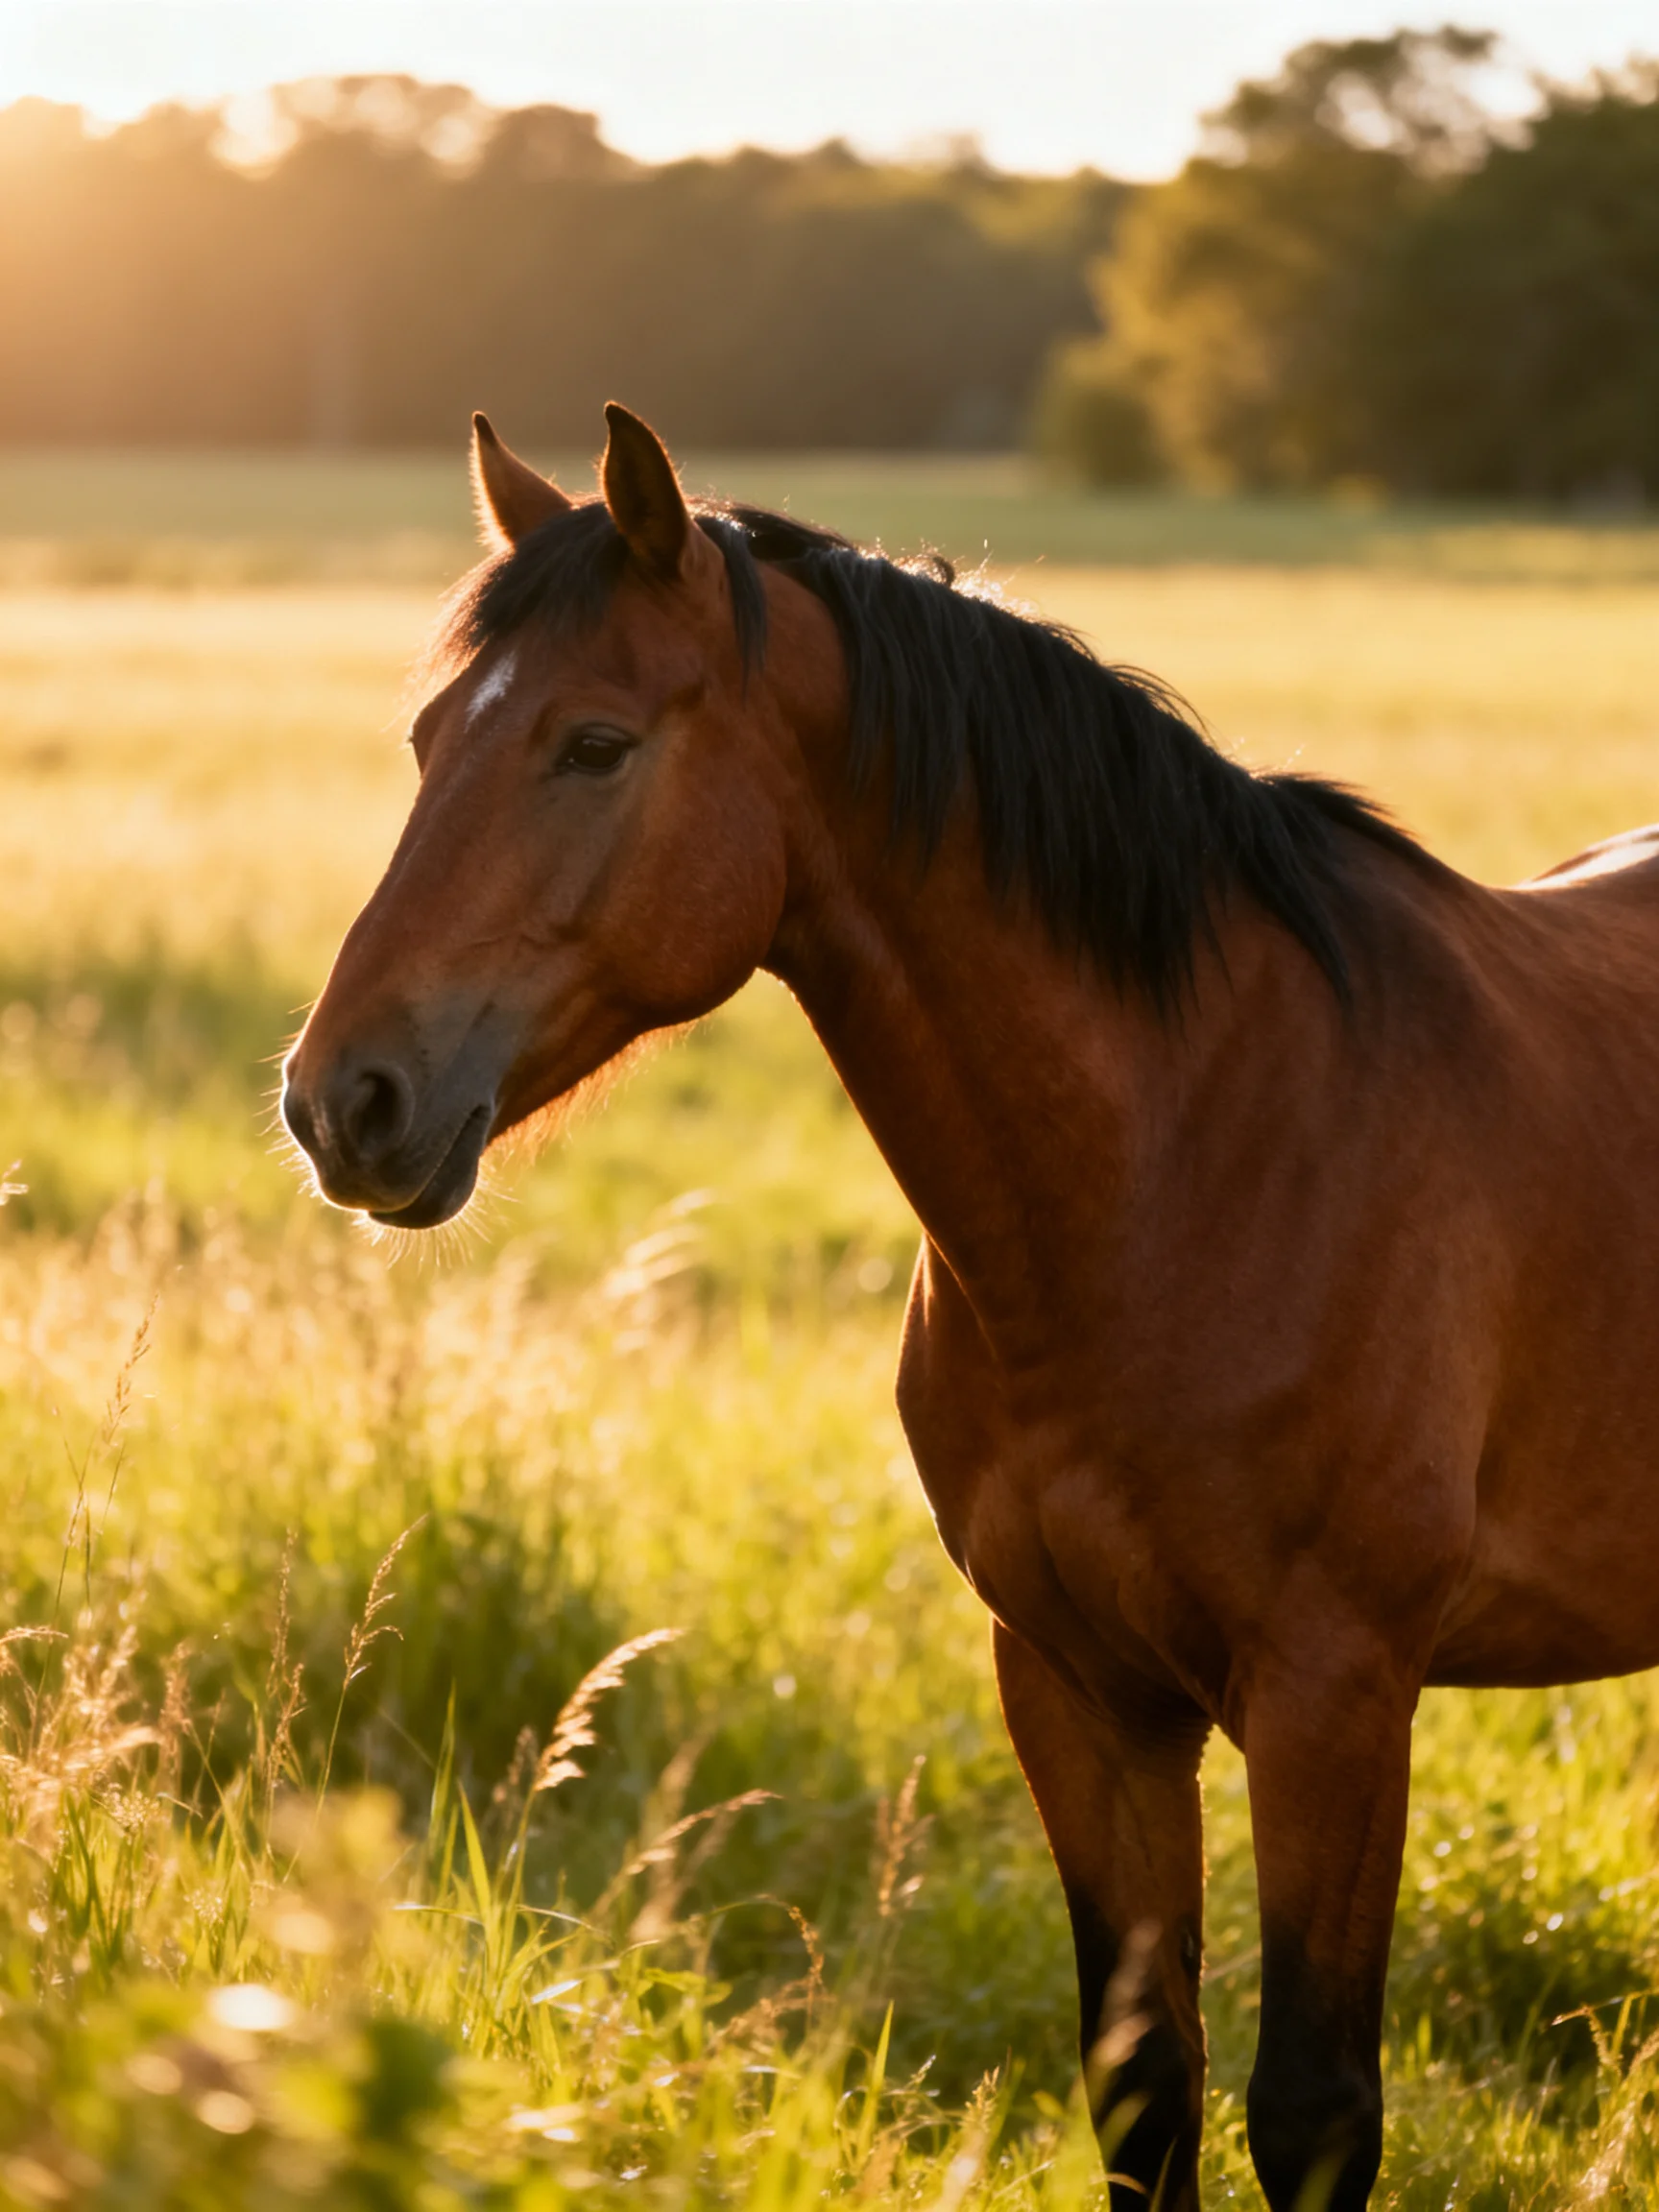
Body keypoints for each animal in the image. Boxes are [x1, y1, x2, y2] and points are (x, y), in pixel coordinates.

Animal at [283, 404, 1659, 2209]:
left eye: (592, 744)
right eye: (434, 732)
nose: (340, 1099)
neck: (1192, 1155)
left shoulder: (1335, 1693)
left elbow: (1311, 2108)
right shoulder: (1077, 1688)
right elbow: (1144, 2082)